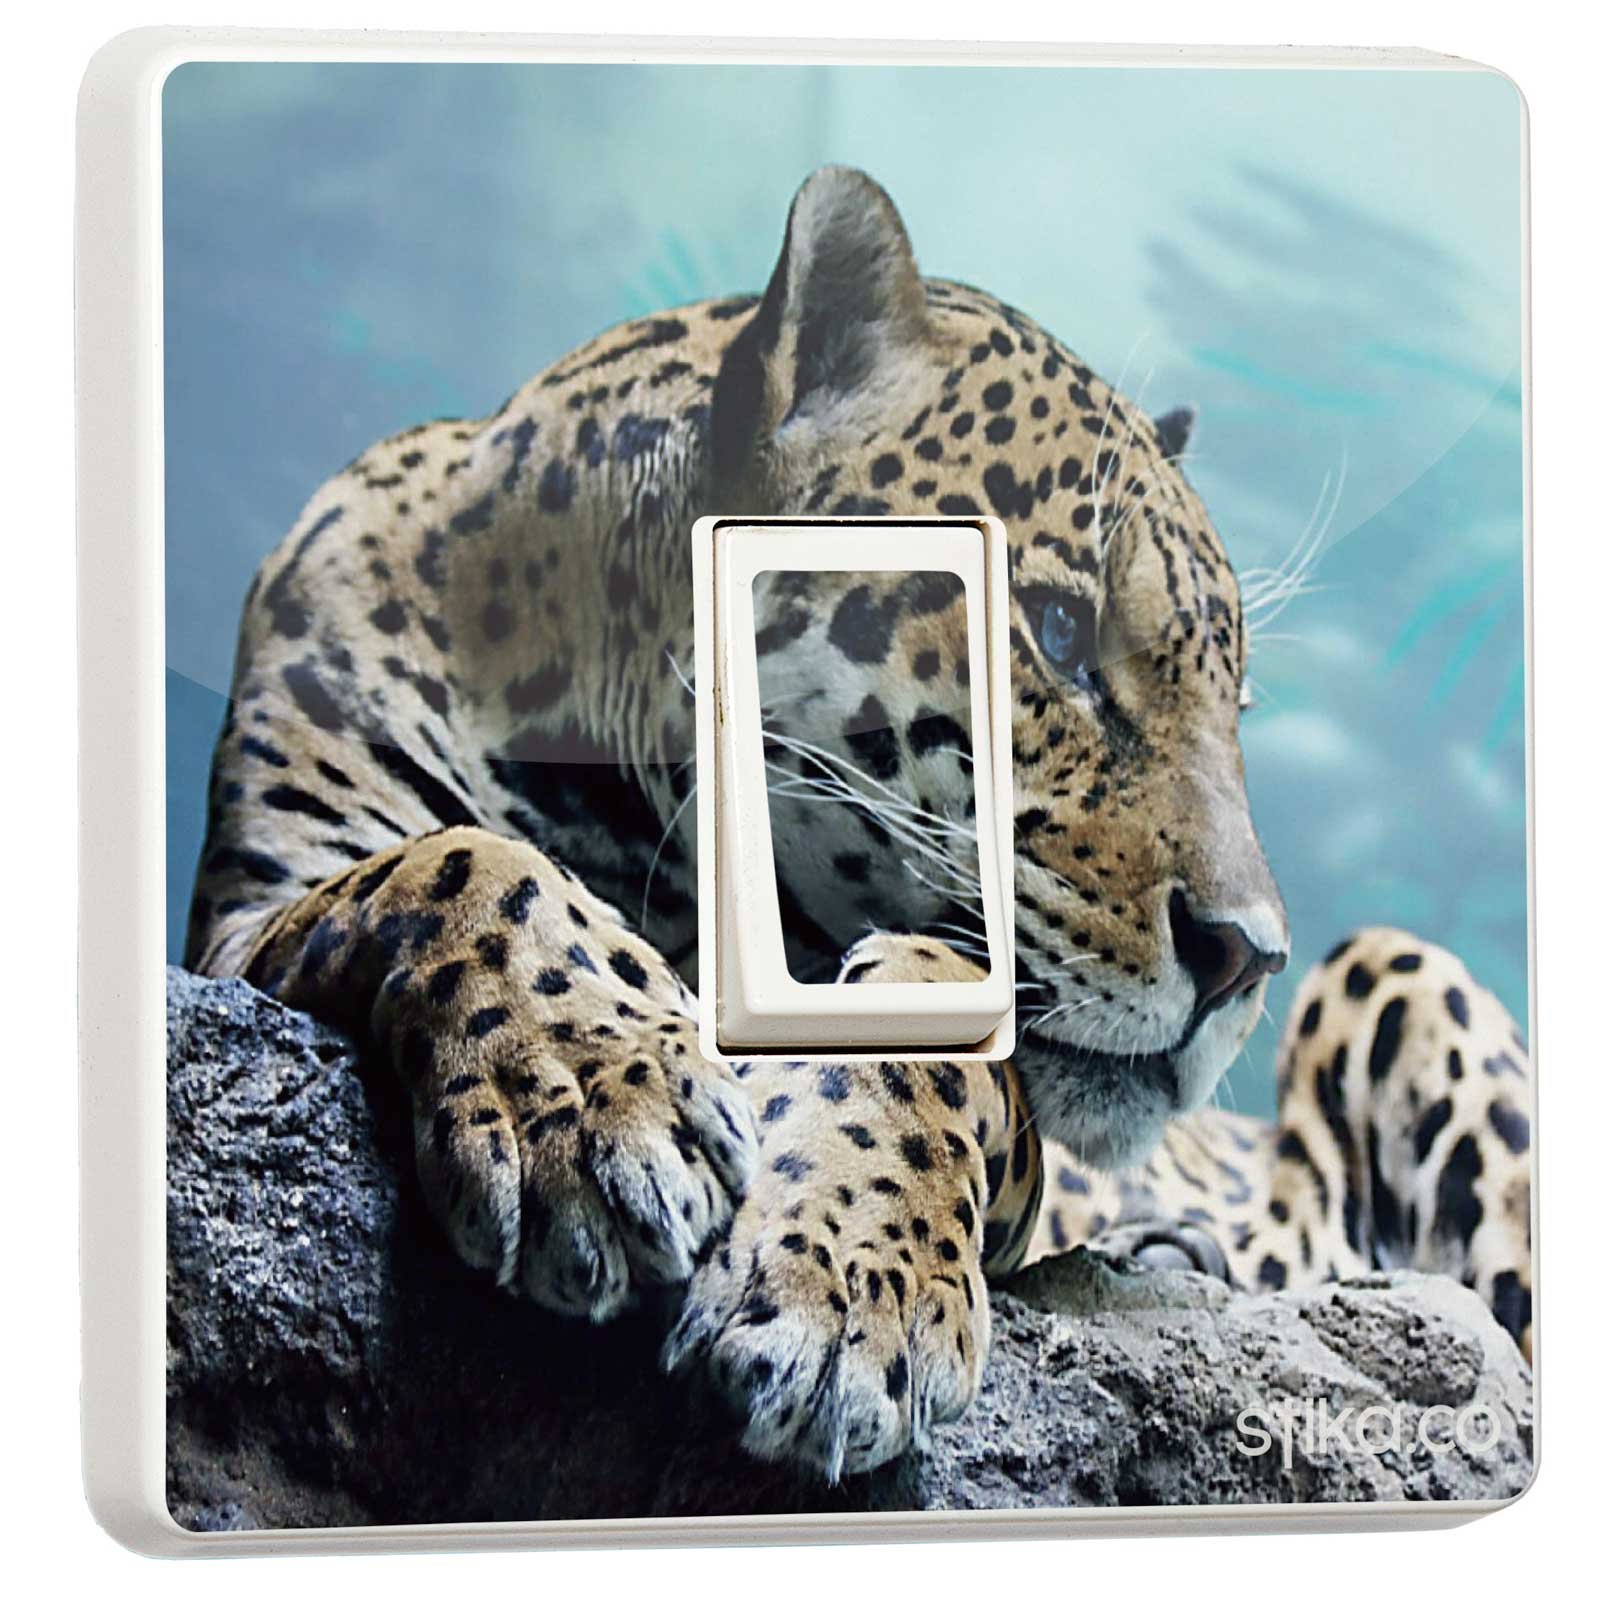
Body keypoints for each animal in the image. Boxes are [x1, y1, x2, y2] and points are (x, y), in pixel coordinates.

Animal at [186, 165, 1533, 1480]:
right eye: (1057, 634)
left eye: (1234, 706)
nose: (1248, 957)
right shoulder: (252, 912)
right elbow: (466, 860)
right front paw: (581, 1090)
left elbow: (933, 1035)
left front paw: (846, 1286)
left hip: (1399, 965)